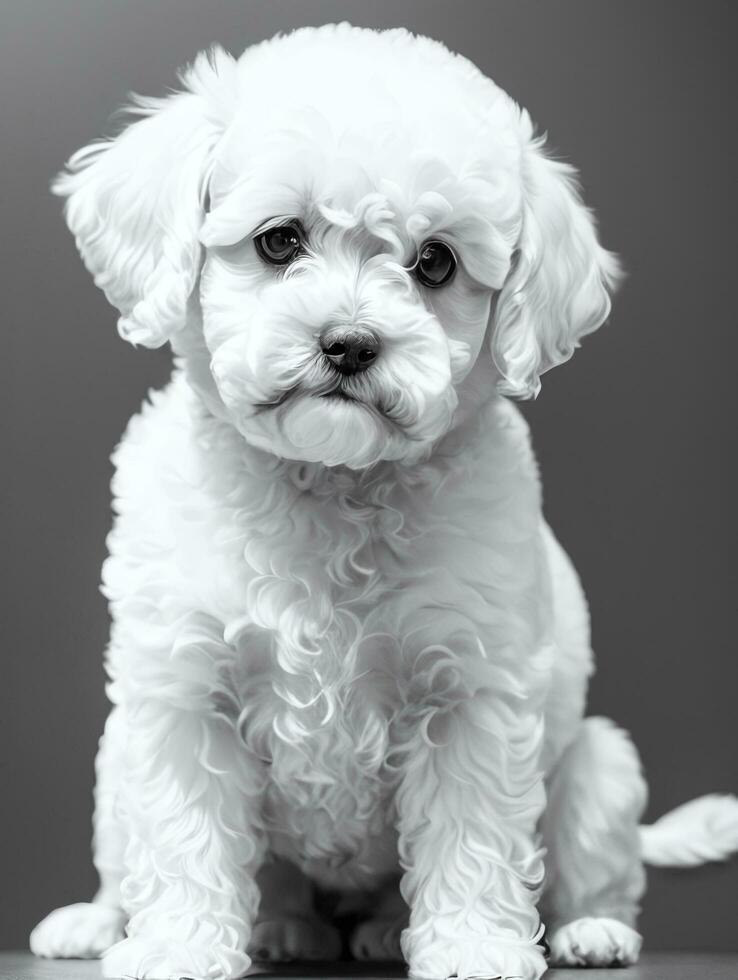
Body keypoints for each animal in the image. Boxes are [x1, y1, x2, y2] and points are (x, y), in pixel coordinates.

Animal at [28, 21, 736, 980]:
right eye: (279, 241)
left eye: (435, 262)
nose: (350, 342)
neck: (331, 483)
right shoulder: (182, 689)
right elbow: (182, 833)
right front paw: (174, 944)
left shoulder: (472, 690)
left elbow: (474, 833)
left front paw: (475, 944)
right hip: (112, 769)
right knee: (153, 862)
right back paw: (176, 924)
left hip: (602, 765)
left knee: (594, 869)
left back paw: (575, 931)